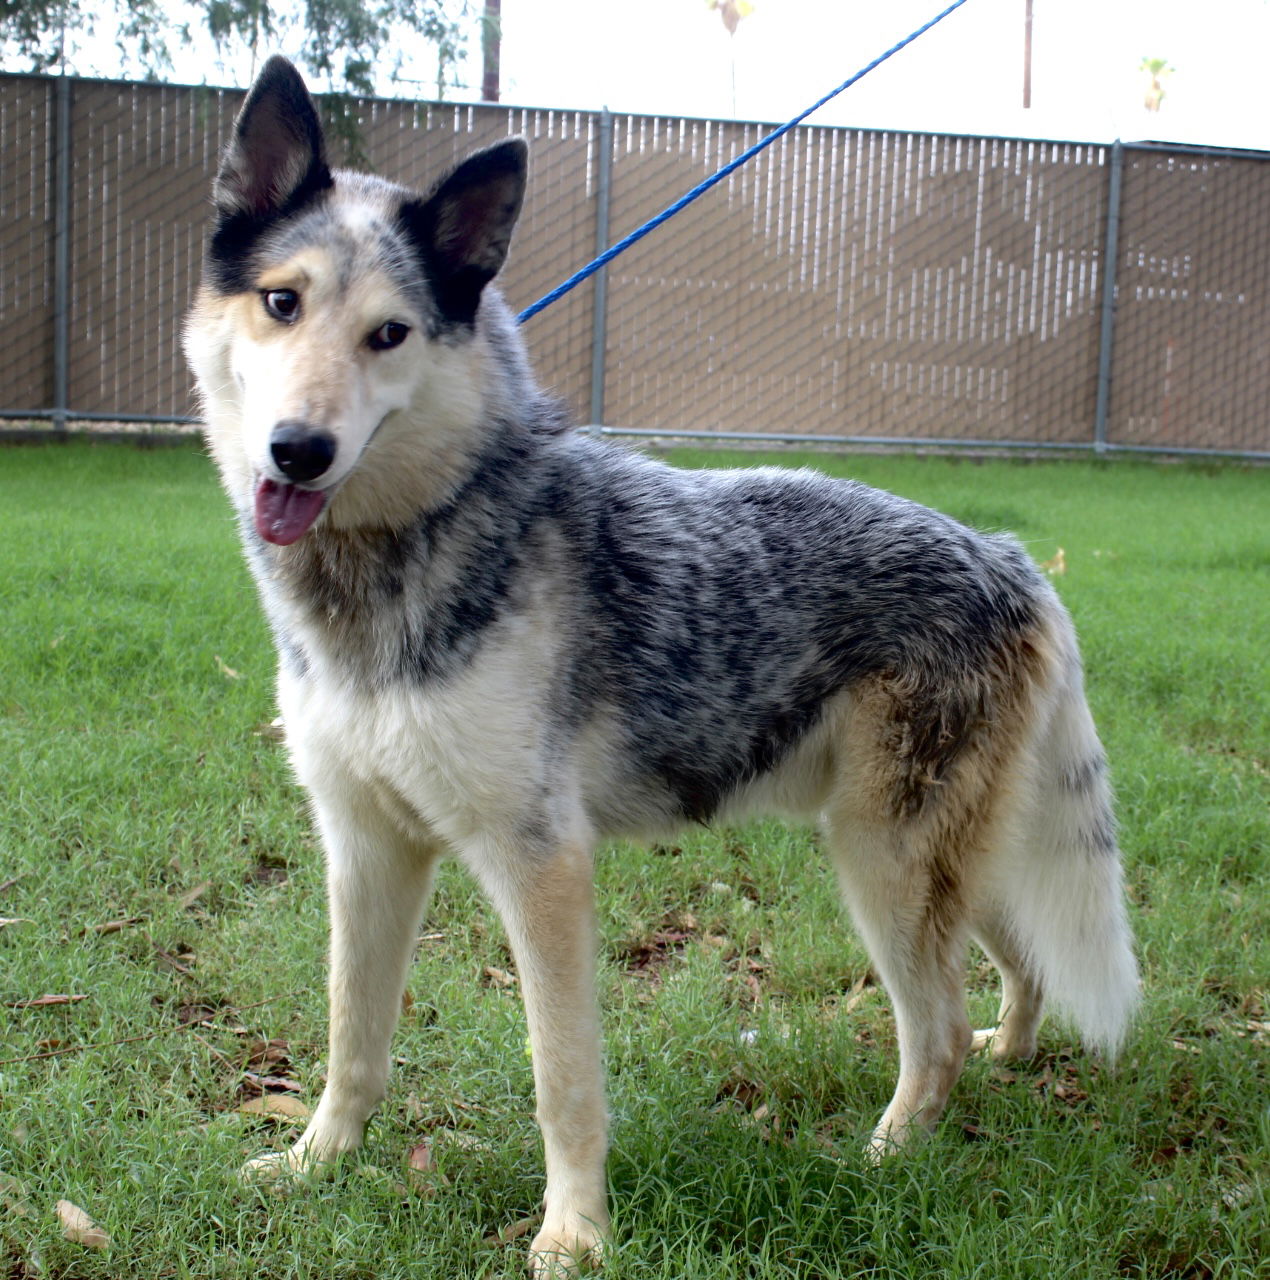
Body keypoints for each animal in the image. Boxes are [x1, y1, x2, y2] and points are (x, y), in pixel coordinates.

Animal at [180, 55, 1141, 1274]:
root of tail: (1015, 560)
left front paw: (574, 1235)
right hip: (938, 863)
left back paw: (880, 1161)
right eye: (282, 303)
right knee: (1011, 973)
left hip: (879, 866)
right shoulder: (363, 852)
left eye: (388, 334)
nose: (297, 451)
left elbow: (562, 1079)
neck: (405, 553)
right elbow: (354, 1038)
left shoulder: (539, 868)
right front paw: (318, 1165)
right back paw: (1008, 1055)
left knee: (932, 1037)